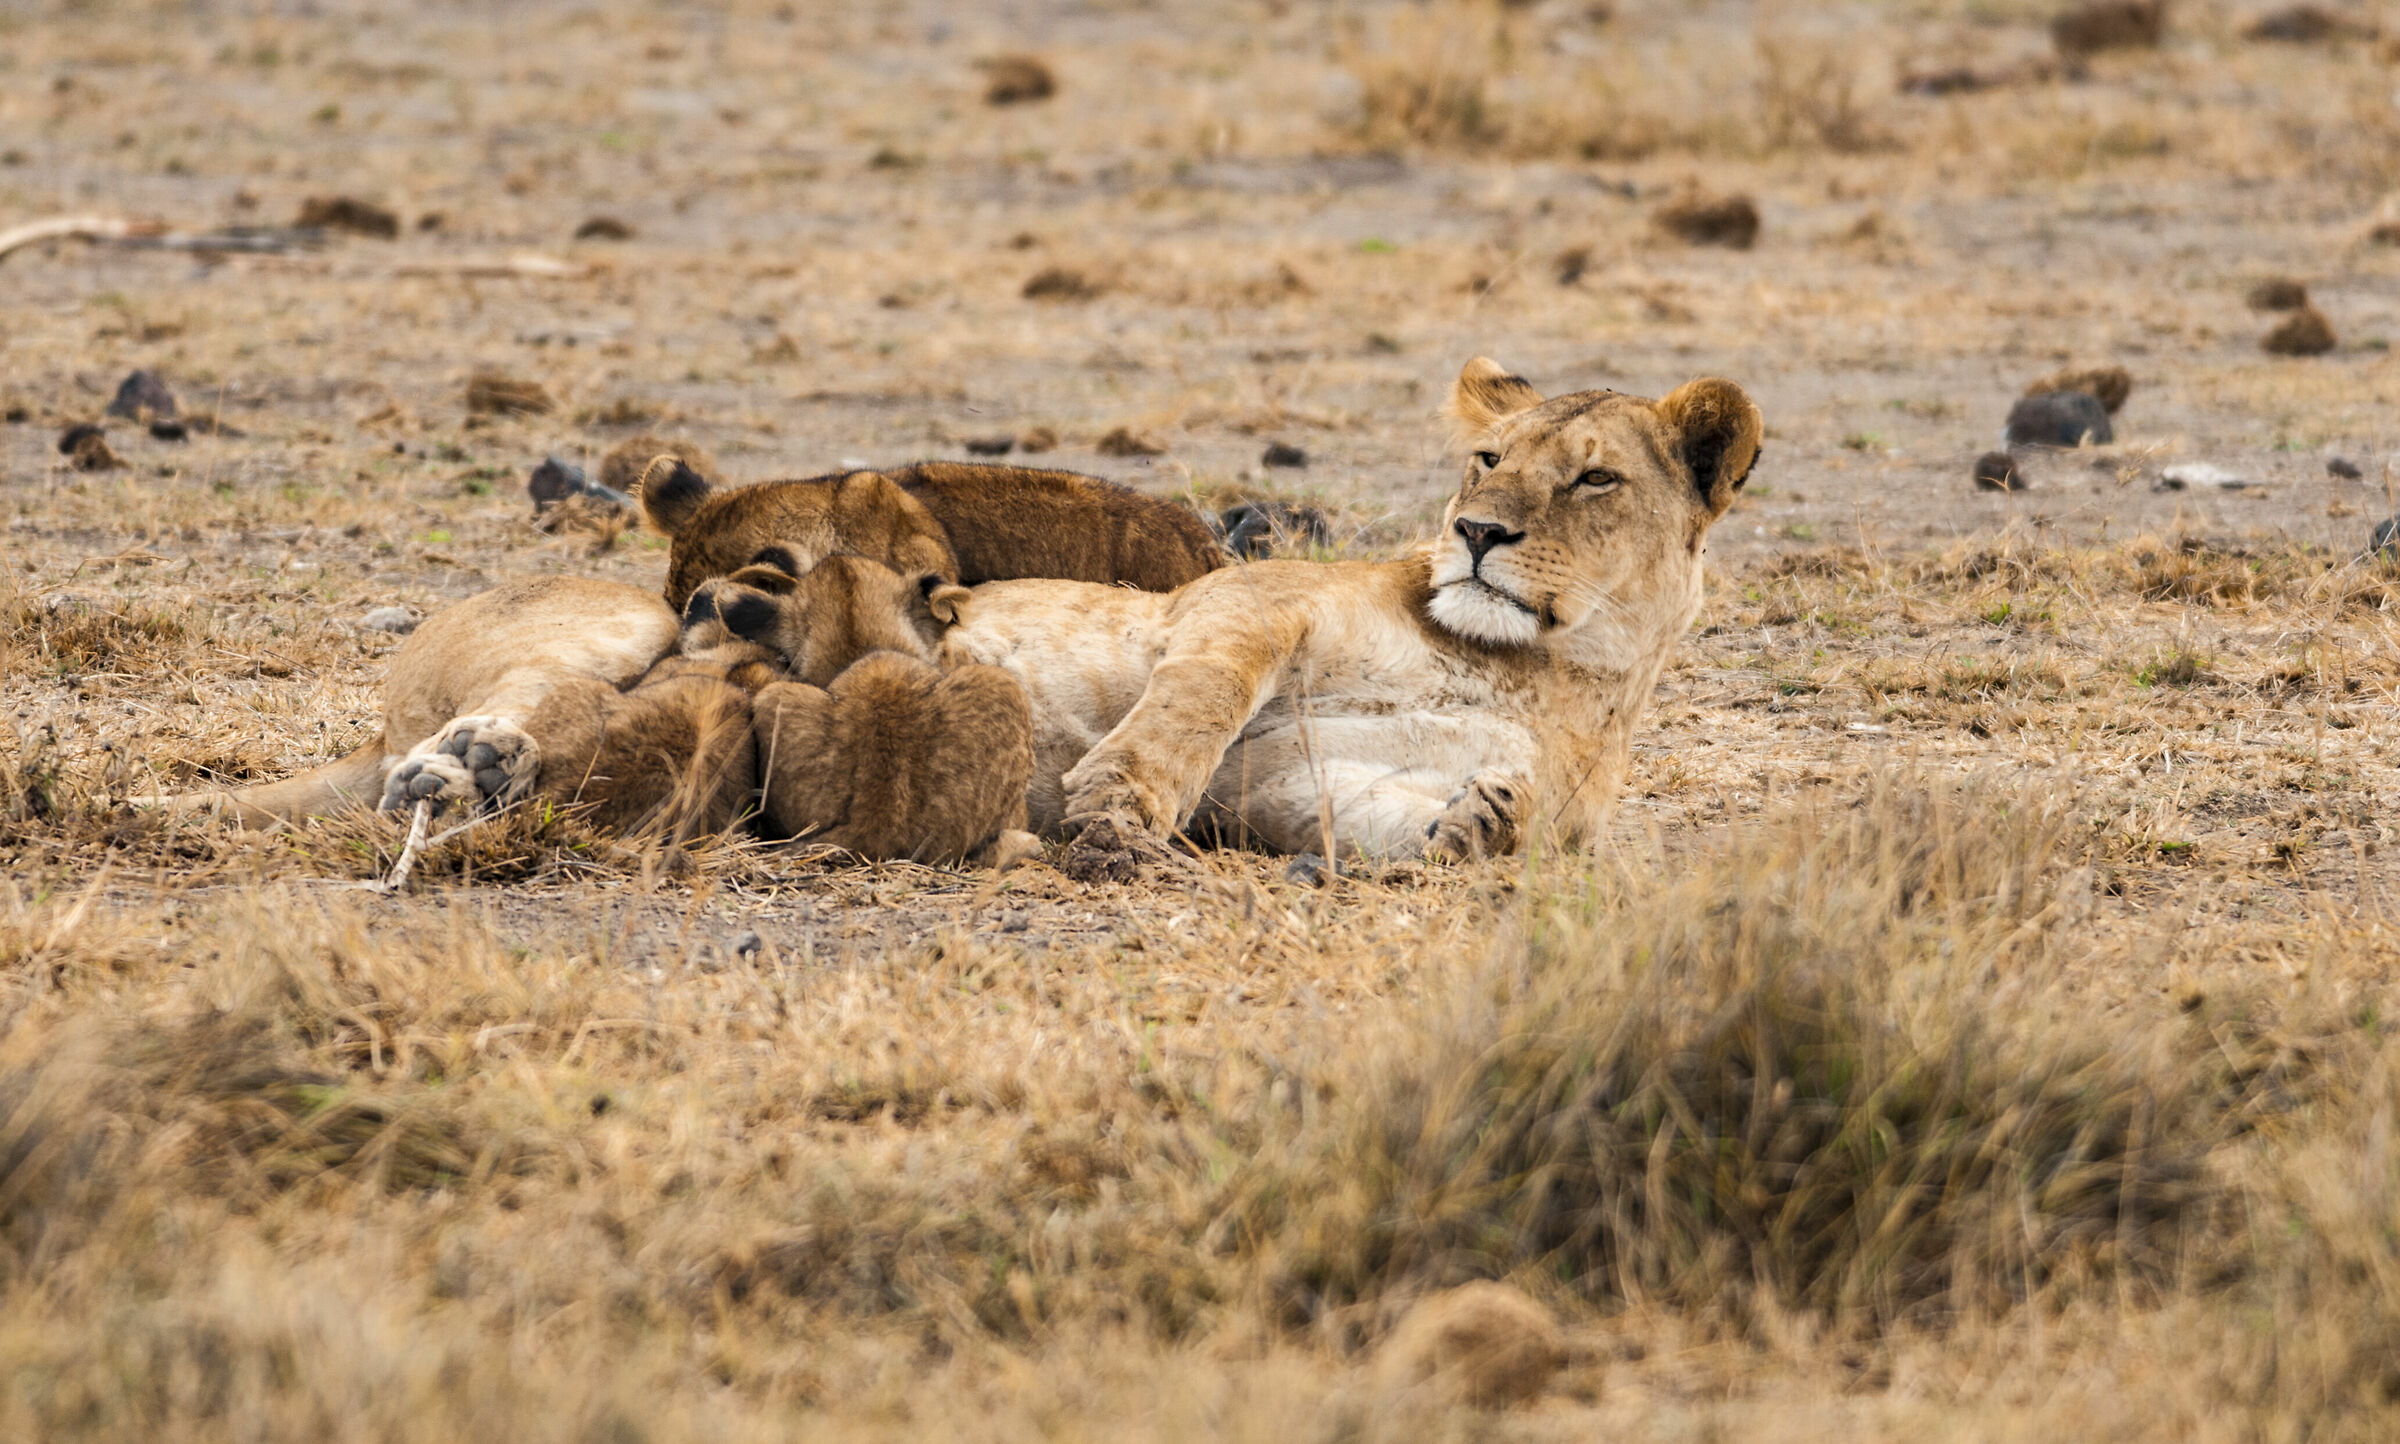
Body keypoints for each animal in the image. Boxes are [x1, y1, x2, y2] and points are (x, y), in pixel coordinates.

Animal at [926, 359, 1762, 864]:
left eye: (1595, 478)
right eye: (1491, 459)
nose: (1477, 531)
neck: (1545, 664)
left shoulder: (1276, 781)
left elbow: (1368, 812)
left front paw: (1481, 820)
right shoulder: (1250, 599)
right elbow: (1200, 699)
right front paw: (1119, 802)